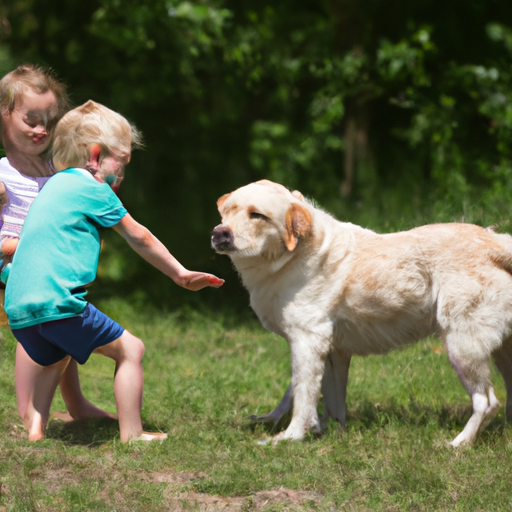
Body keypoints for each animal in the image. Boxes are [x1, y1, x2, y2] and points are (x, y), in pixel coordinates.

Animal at [210, 182, 512, 446]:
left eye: (257, 215)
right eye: (226, 212)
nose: (219, 233)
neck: (295, 256)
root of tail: (495, 242)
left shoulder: (307, 341)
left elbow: (303, 394)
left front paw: (290, 438)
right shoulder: (333, 351)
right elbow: (324, 400)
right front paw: (327, 432)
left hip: (462, 348)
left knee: (487, 402)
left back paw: (459, 443)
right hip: (500, 351)